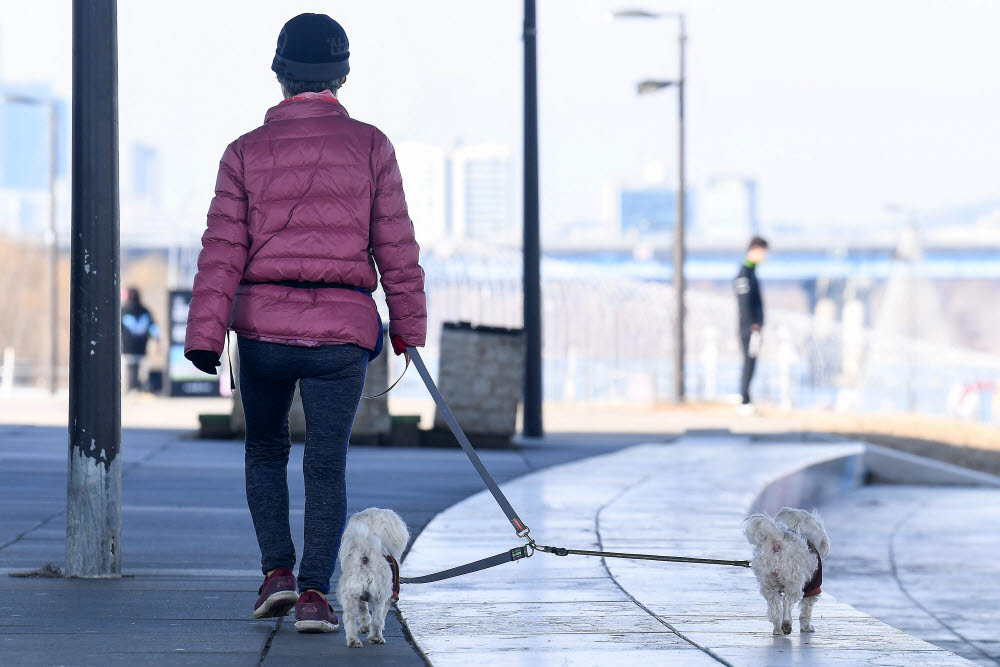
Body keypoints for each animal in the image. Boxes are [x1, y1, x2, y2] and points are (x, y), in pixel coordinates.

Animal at [338, 512, 408, 648]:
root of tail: (365, 556)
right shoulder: (390, 596)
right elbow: (381, 614)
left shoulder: (360, 596)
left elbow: (363, 610)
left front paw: (365, 627)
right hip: (380, 594)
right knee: (377, 619)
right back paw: (376, 637)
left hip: (351, 593)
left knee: (350, 618)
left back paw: (353, 640)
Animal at [744, 506, 828, 636]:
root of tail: (777, 541)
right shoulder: (813, 585)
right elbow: (806, 609)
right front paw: (807, 627)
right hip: (794, 580)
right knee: (787, 601)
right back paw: (787, 624)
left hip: (767, 582)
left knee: (774, 606)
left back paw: (778, 630)